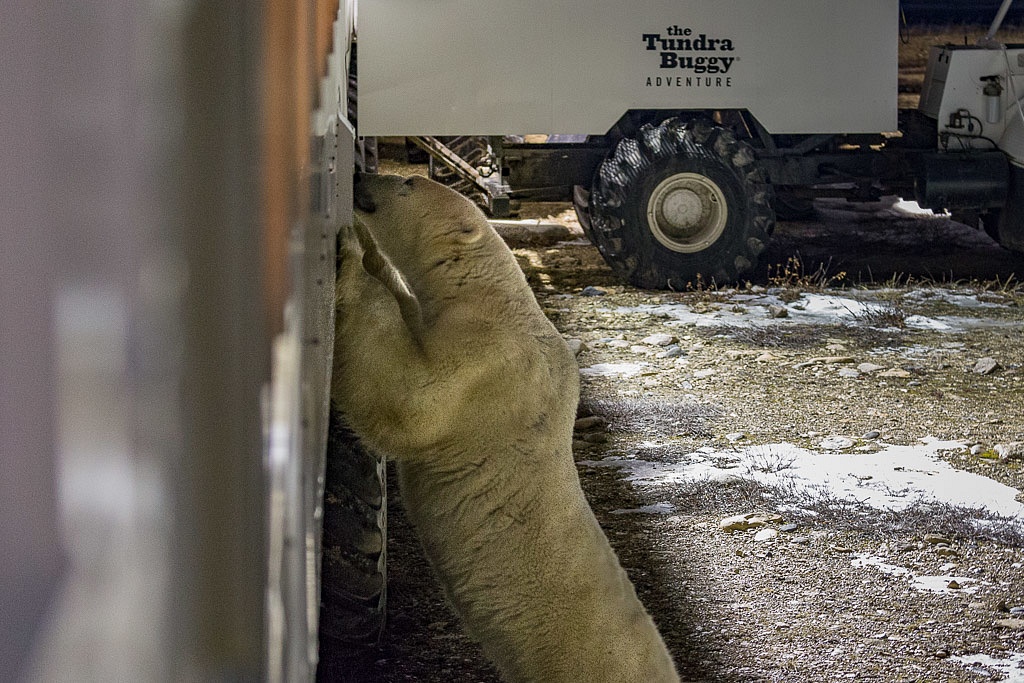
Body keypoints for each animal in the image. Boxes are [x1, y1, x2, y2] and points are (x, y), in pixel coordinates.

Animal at [329, 174, 679, 679]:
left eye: (409, 183)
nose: (360, 178)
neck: (493, 293)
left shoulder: (487, 358)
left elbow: (410, 397)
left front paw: (351, 254)